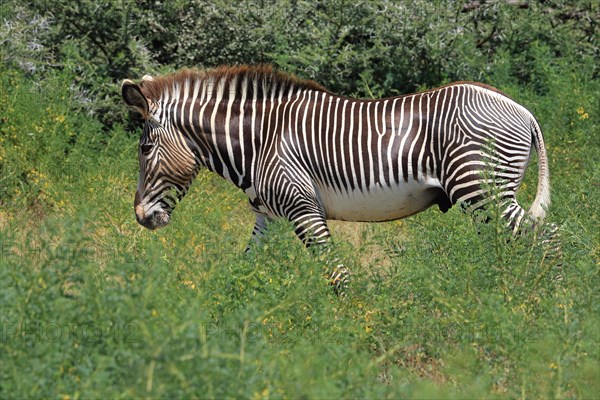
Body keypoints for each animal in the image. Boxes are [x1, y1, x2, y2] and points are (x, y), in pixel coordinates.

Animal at [123, 67, 552, 288]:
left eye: (144, 149)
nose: (141, 217)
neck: (259, 140)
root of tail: (522, 109)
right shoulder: (268, 218)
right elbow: (243, 267)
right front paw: (224, 314)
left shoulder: (303, 208)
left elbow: (336, 273)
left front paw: (353, 328)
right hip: (483, 197)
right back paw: (503, 289)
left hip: (482, 189)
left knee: (546, 236)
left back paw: (546, 297)